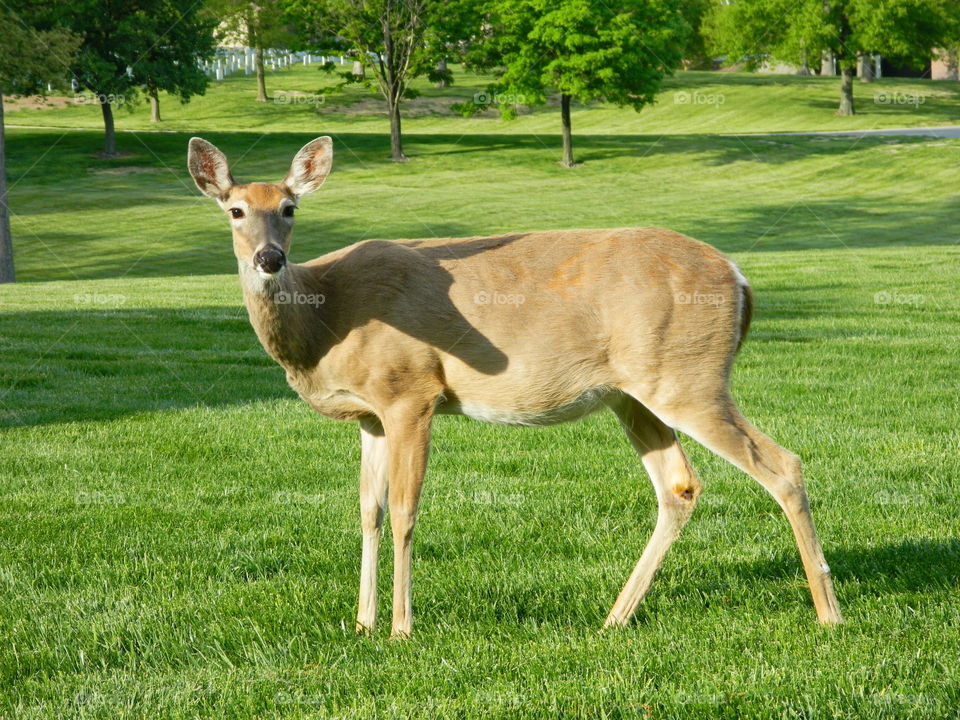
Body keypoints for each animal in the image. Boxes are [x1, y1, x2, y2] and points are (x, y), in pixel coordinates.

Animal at [187, 136, 842, 638]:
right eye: (235, 210)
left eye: (290, 207)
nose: (269, 259)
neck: (325, 323)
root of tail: (739, 275)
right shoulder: (371, 414)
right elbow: (367, 511)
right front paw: (362, 622)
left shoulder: (411, 391)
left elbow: (403, 509)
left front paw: (400, 628)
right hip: (635, 392)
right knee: (680, 486)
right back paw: (613, 618)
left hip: (688, 374)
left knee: (783, 464)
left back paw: (828, 613)